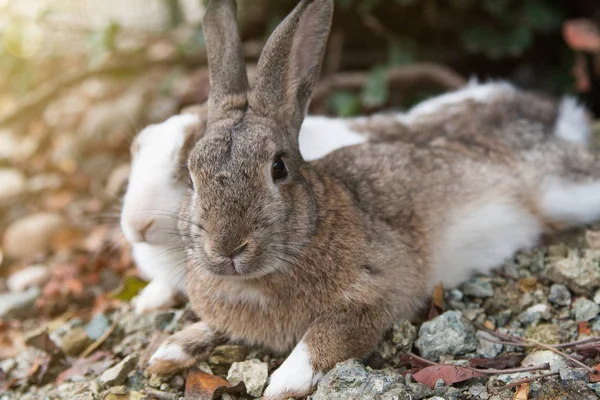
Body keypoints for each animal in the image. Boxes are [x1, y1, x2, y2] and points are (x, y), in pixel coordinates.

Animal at [148, 1, 596, 398]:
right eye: (191, 175)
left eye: (278, 168)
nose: (227, 248)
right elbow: (210, 327)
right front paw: (167, 352)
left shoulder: (375, 293)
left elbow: (327, 334)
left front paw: (284, 383)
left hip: (562, 191)